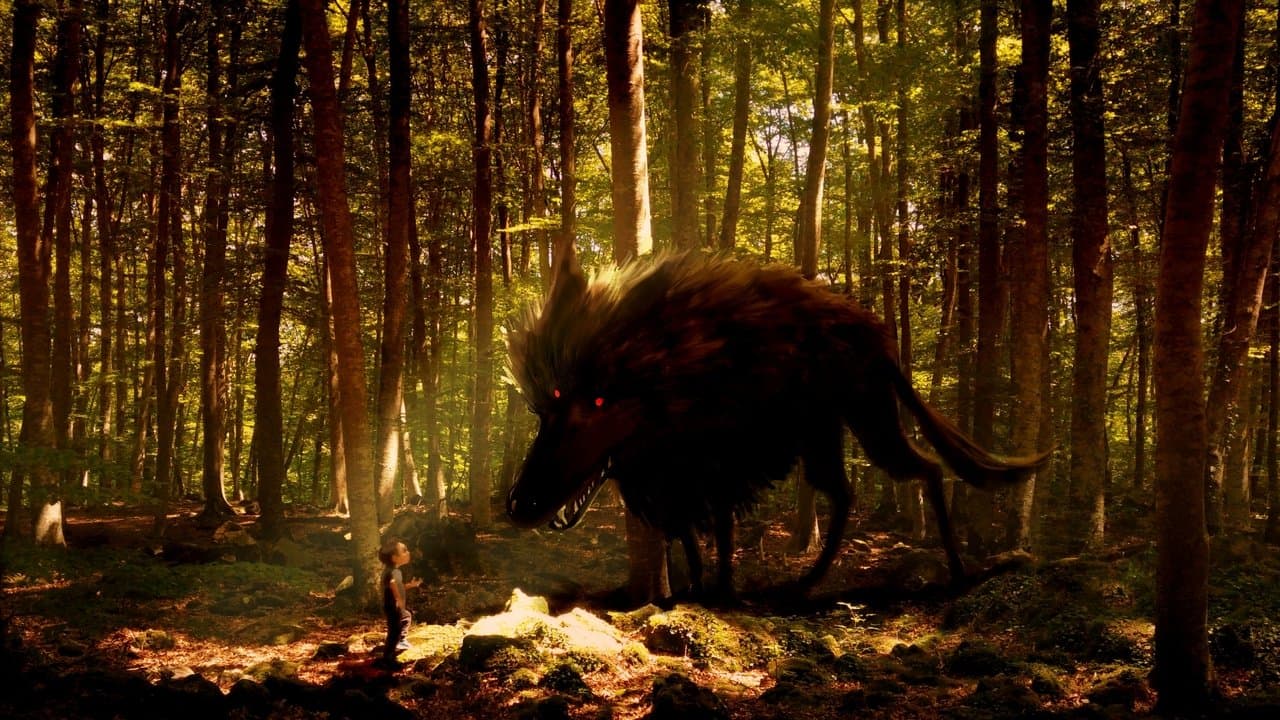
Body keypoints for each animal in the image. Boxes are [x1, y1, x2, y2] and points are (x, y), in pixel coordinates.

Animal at [505, 252, 1045, 596]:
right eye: (546, 405)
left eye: (598, 400)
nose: (519, 505)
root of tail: (879, 337)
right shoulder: (682, 481)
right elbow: (690, 540)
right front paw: (692, 591)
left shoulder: (718, 470)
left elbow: (719, 535)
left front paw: (720, 594)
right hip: (829, 433)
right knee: (849, 490)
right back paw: (805, 583)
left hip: (864, 419)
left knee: (924, 469)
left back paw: (954, 574)